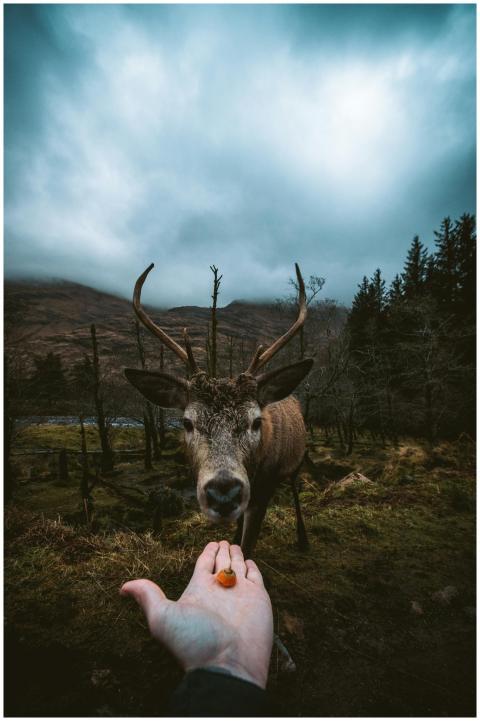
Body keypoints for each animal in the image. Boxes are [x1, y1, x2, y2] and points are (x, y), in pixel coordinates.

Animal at [125, 263, 313, 558]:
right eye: (187, 422)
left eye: (256, 422)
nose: (223, 492)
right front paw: (233, 540)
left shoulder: (264, 488)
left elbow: (247, 548)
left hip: (298, 459)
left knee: (295, 490)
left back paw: (303, 538)